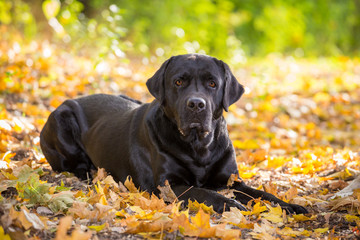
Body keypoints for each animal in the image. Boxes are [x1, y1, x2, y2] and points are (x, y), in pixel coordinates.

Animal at [40, 54, 308, 214]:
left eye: (212, 83)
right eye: (178, 82)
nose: (196, 104)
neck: (199, 146)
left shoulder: (232, 179)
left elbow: (262, 194)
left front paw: (291, 206)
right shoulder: (166, 185)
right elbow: (203, 192)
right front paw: (231, 204)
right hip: (62, 119)